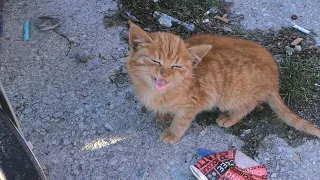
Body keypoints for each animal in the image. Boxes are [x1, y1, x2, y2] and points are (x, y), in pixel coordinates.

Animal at [125, 22, 320, 143]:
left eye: (176, 66)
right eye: (155, 61)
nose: (164, 74)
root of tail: (275, 78)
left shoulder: (194, 104)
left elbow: (181, 121)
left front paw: (172, 133)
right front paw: (162, 113)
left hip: (230, 97)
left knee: (249, 105)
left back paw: (230, 117)